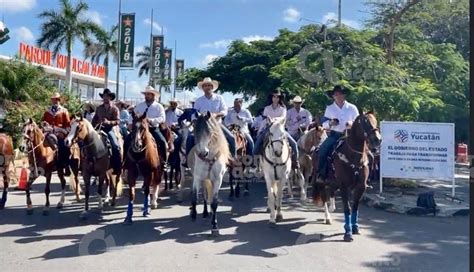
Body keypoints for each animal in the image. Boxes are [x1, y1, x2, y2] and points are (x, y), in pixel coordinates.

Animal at [312, 111, 382, 241]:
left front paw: (355, 228)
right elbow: (347, 208)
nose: (377, 140)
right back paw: (328, 218)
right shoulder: (344, 186)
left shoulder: (360, 186)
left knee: (331, 192)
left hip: (333, 182)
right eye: (364, 122)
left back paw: (332, 208)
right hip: (322, 182)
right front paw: (348, 233)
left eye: (375, 121)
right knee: (324, 198)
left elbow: (355, 207)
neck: (353, 157)